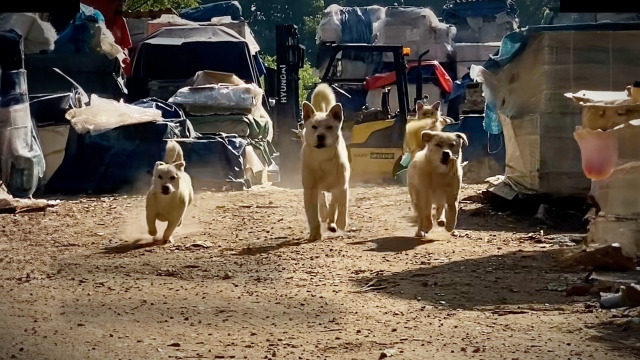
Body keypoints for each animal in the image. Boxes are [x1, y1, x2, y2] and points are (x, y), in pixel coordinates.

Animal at [300, 83, 350, 240]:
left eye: (329, 127)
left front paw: (339, 223)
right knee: (322, 201)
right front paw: (315, 234)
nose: (320, 136)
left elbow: (340, 206)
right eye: (314, 126)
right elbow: (312, 215)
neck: (323, 159)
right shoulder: (310, 190)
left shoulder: (342, 186)